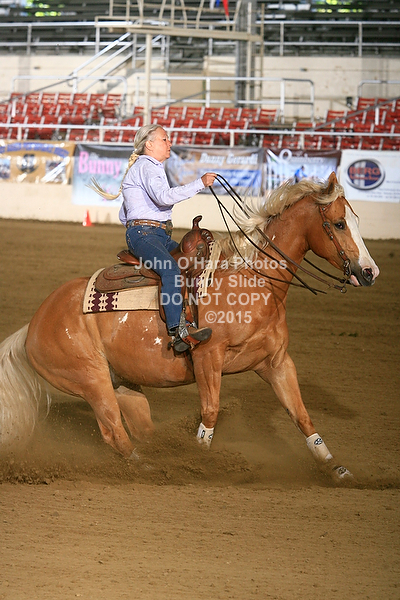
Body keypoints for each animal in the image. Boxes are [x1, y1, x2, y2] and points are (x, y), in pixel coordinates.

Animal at [0, 172, 379, 482]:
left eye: (357, 220)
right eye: (339, 224)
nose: (370, 272)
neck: (252, 283)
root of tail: (32, 326)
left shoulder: (276, 363)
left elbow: (302, 416)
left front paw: (336, 469)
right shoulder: (208, 358)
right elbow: (209, 414)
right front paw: (202, 464)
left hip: (122, 383)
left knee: (139, 427)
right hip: (91, 381)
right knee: (114, 433)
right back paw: (153, 469)